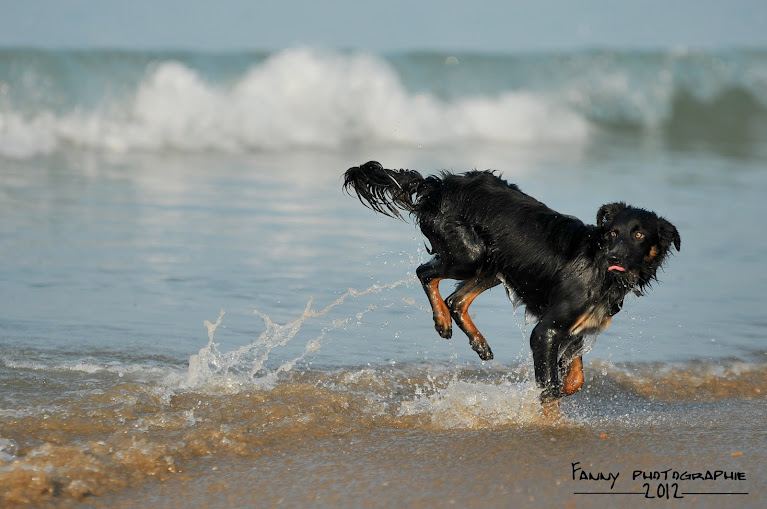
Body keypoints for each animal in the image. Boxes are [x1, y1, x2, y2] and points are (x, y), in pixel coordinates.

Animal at [344, 162, 680, 412]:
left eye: (639, 235)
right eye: (612, 233)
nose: (614, 256)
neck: (600, 268)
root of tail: (437, 185)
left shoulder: (575, 328)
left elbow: (574, 380)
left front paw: (563, 387)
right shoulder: (546, 330)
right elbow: (550, 387)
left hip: (493, 264)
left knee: (456, 299)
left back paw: (478, 341)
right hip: (470, 255)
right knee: (425, 272)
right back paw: (441, 322)